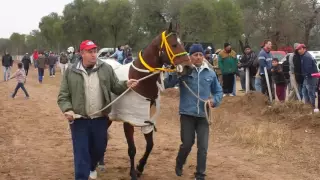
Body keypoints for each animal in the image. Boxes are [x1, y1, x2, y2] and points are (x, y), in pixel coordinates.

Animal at [99, 22, 192, 180]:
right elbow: (132, 149)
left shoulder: (148, 121)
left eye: (183, 44)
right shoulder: (128, 121)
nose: (188, 67)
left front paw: (140, 167)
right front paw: (133, 173)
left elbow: (150, 145)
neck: (139, 80)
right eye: (174, 44)